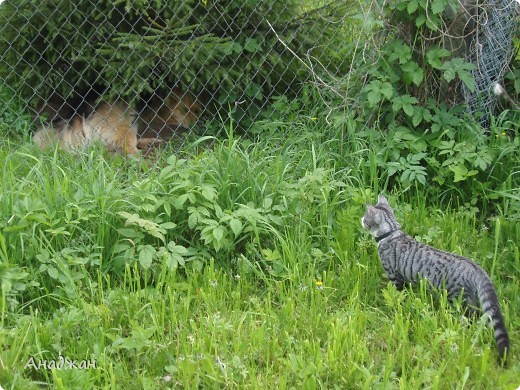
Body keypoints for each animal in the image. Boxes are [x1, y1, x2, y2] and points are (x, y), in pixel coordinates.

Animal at [364, 195, 510, 362]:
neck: (391, 233)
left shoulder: (394, 275)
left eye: (365, 218)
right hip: (472, 299)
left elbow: (397, 294)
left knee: (469, 317)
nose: (361, 220)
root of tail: (477, 268)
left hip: (459, 299)